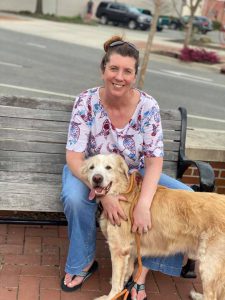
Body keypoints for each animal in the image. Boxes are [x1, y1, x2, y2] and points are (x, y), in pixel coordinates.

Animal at [81, 154, 225, 298]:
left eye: (108, 167)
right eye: (91, 167)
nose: (97, 178)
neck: (121, 192)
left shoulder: (119, 249)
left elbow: (117, 283)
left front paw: (112, 296)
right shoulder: (130, 249)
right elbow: (127, 272)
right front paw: (125, 286)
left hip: (210, 267)